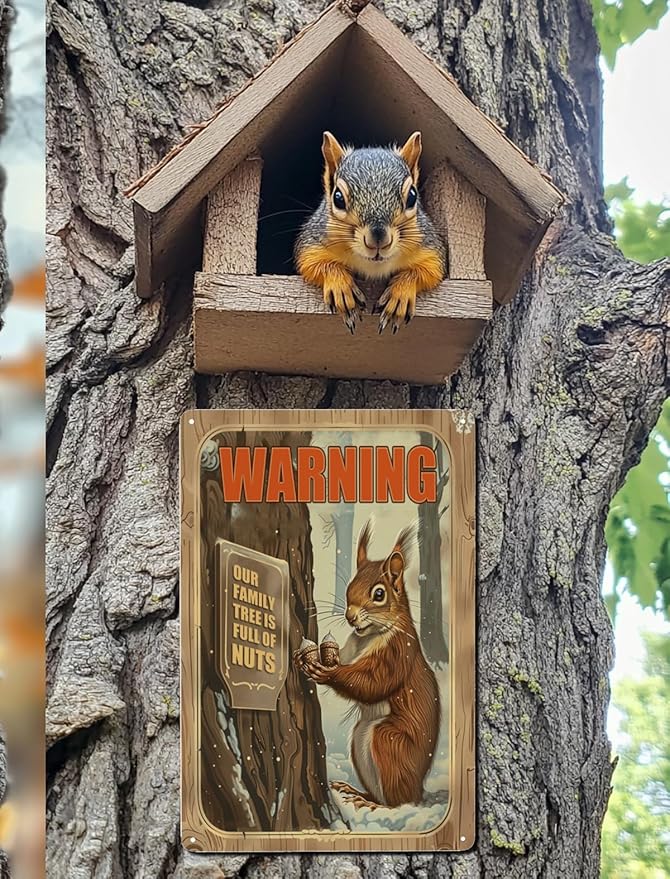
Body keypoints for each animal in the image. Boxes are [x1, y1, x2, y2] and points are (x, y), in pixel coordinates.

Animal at [294, 131, 447, 334]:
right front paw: (341, 287)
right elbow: (311, 262)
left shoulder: (429, 245)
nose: (378, 240)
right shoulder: (313, 240)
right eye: (338, 198)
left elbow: (430, 270)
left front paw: (400, 295)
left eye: (412, 196)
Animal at [296, 521, 440, 810]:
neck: (369, 635)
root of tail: (419, 792)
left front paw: (328, 673)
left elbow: (374, 682)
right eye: (350, 585)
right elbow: (344, 659)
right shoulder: (351, 649)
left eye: (379, 594)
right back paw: (356, 792)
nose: (350, 616)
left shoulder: (397, 652)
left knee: (399, 801)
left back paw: (378, 805)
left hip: (388, 743)